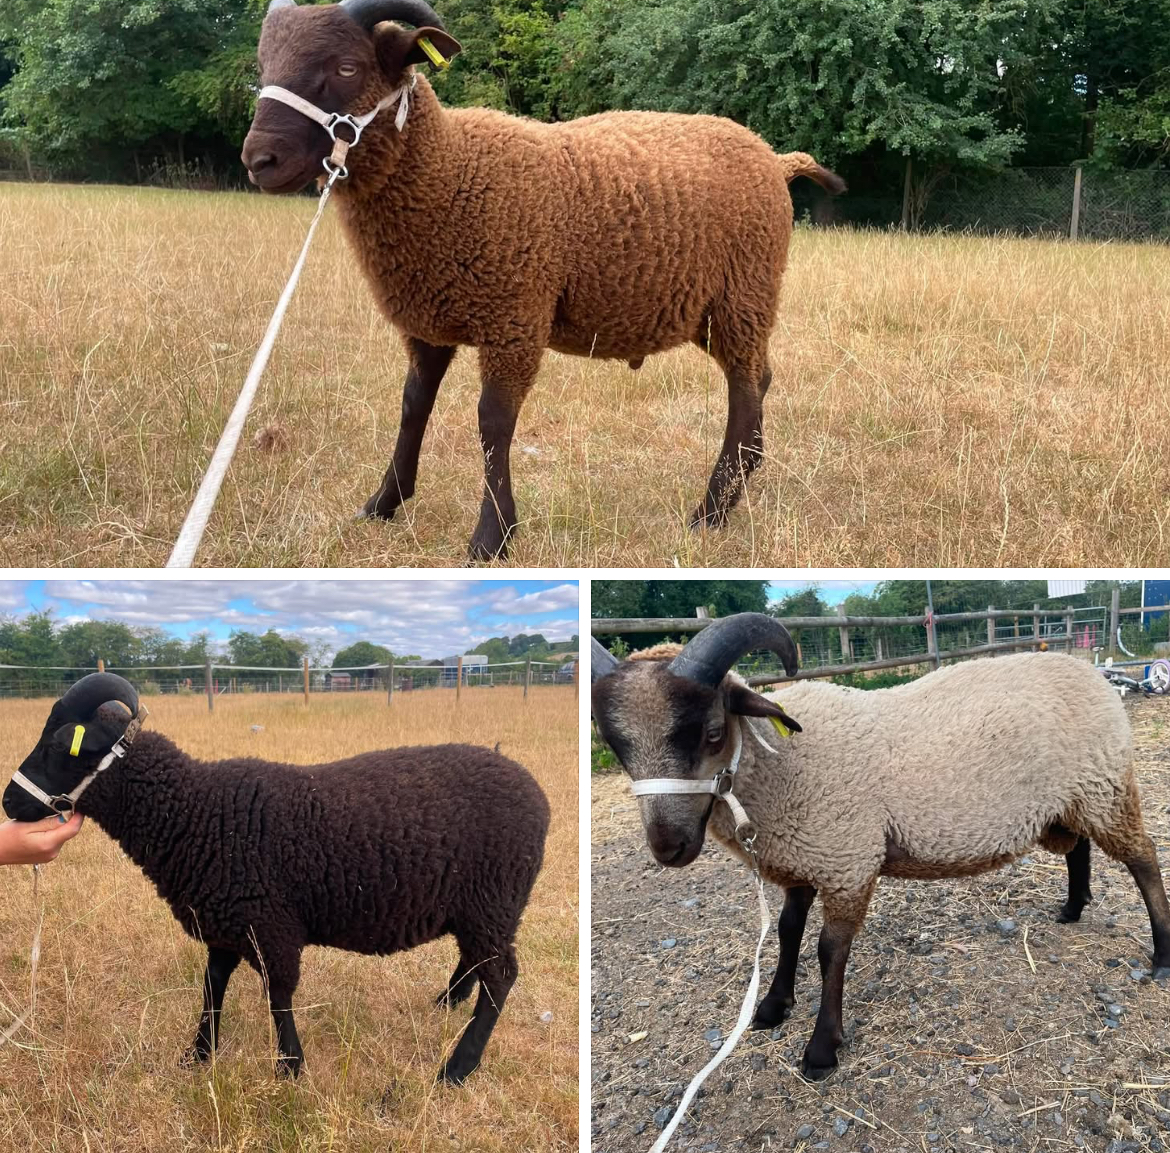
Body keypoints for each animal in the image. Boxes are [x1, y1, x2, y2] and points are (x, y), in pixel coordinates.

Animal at [3, 672, 550, 1084]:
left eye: (60, 744)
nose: (9, 802)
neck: (196, 813)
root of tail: (531, 786)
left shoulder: (270, 925)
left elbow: (278, 997)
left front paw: (289, 1068)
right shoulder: (225, 921)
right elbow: (212, 986)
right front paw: (198, 1055)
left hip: (494, 898)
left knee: (500, 977)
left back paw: (457, 1069)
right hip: (479, 906)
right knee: (475, 962)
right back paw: (445, 1005)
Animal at [241, 0, 845, 560]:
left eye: (346, 67)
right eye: (264, 64)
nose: (259, 160)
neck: (450, 171)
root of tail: (775, 158)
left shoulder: (515, 316)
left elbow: (492, 424)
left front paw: (492, 537)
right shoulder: (429, 322)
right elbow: (413, 407)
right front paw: (383, 504)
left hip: (745, 293)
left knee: (745, 392)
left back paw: (711, 511)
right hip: (714, 310)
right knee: (758, 381)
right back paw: (740, 483)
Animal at [591, 614, 1170, 1080]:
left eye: (713, 732)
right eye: (616, 746)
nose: (668, 847)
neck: (782, 761)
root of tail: (1089, 671)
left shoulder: (847, 859)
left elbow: (829, 951)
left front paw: (821, 1050)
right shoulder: (802, 858)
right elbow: (787, 931)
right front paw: (773, 1006)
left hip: (1105, 786)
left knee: (1143, 859)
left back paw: (1161, 954)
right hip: (1067, 802)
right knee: (1079, 847)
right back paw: (1072, 907)